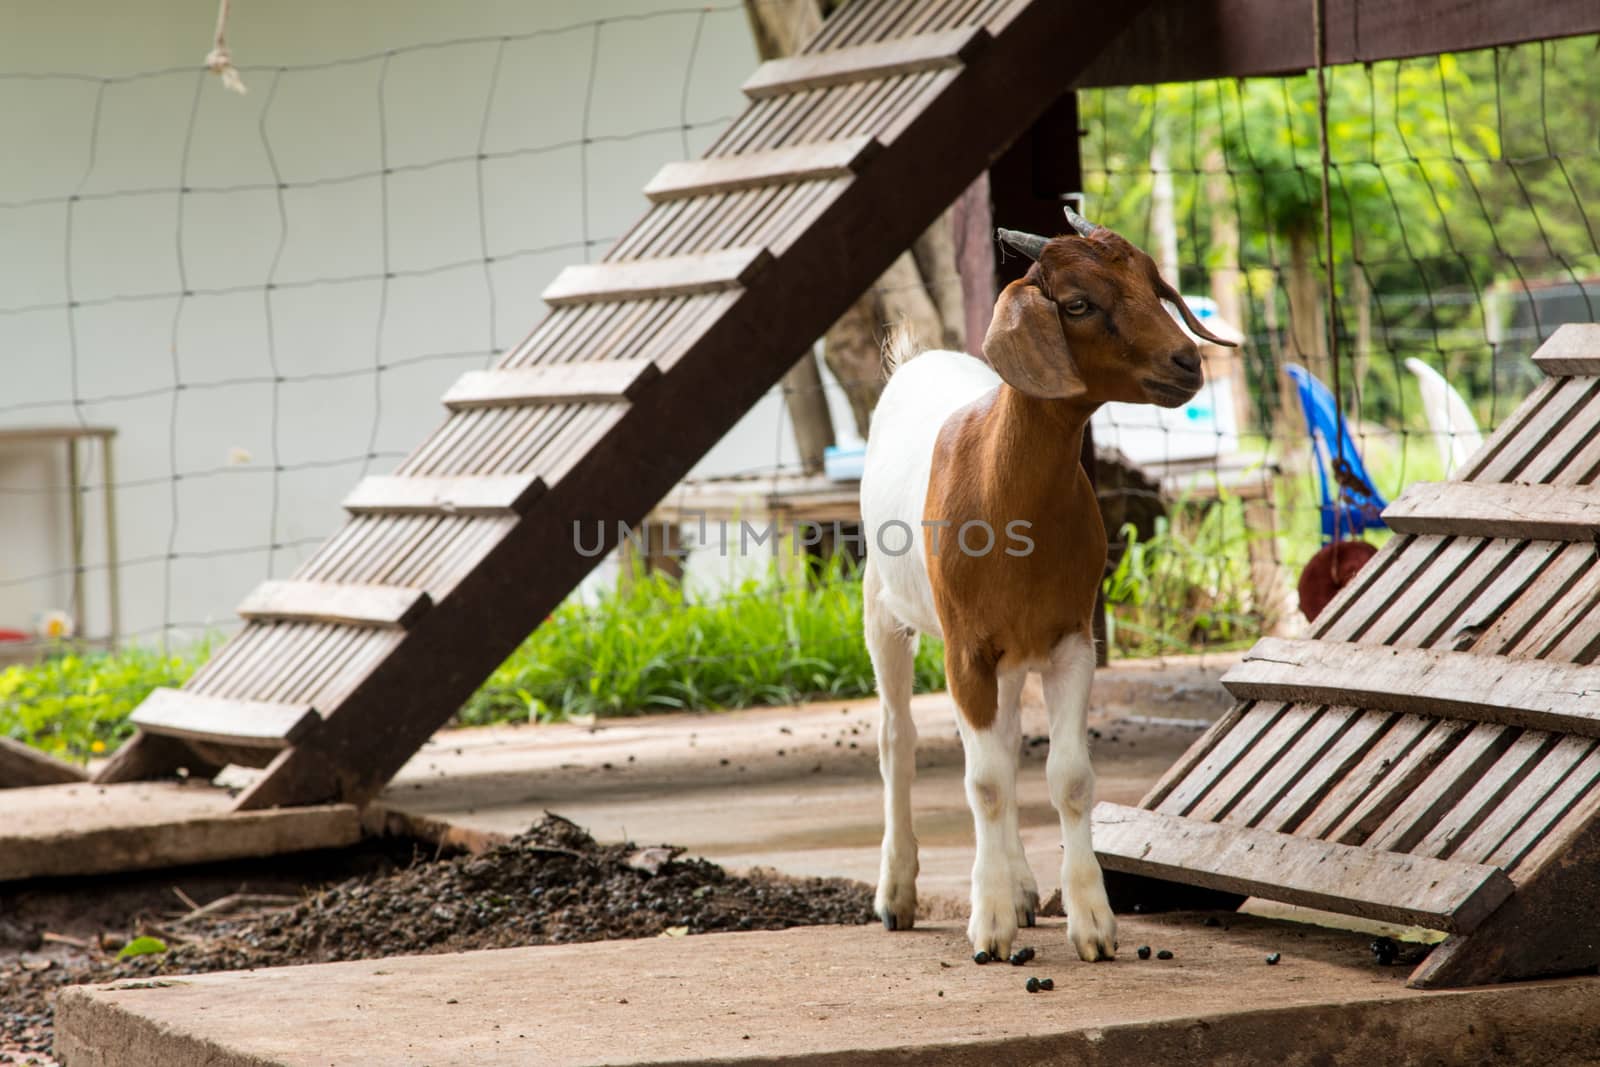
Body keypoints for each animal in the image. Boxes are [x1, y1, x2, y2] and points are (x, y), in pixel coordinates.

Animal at [857, 204, 1228, 966]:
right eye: (1079, 303)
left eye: (1154, 285)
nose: (1187, 362)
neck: (1005, 496)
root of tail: (917, 360)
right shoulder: (965, 650)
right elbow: (984, 781)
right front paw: (990, 924)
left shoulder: (1068, 639)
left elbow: (1066, 777)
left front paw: (1091, 921)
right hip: (881, 605)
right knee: (897, 741)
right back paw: (898, 892)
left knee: (1002, 736)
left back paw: (1024, 887)